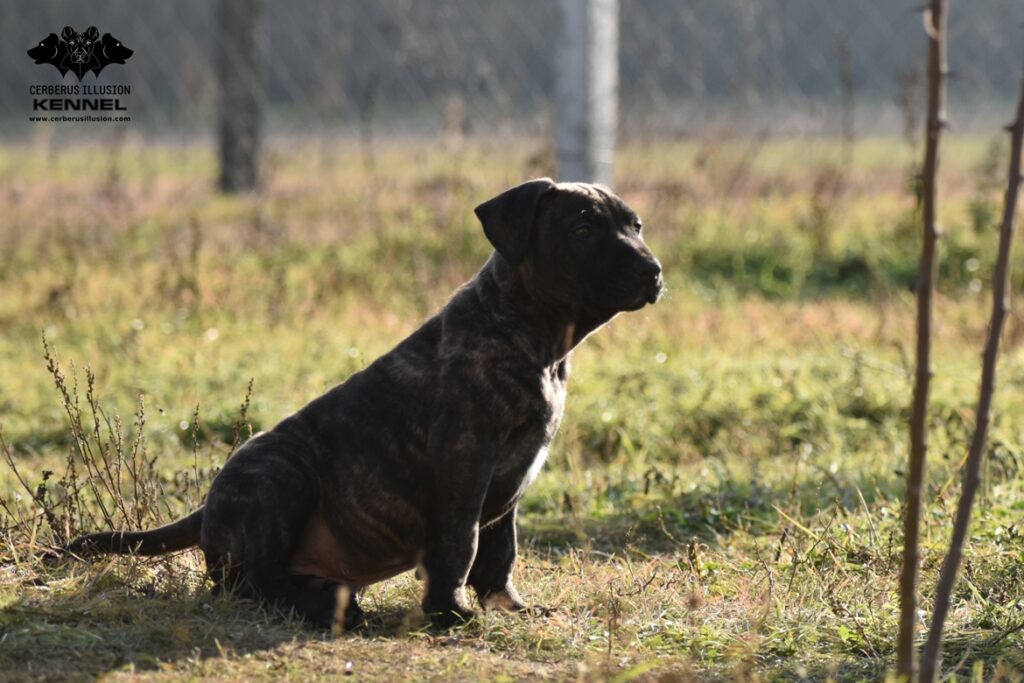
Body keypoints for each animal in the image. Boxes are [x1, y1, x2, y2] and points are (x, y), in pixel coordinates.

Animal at [68, 178, 667, 630]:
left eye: (636, 226)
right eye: (583, 230)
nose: (652, 271)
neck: (535, 335)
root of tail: (209, 503)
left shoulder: (509, 480)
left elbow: (500, 552)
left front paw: (510, 608)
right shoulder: (465, 462)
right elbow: (462, 542)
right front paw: (451, 613)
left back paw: (324, 595)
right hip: (280, 474)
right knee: (242, 584)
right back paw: (319, 605)